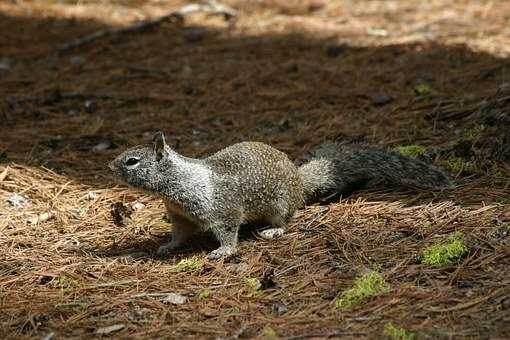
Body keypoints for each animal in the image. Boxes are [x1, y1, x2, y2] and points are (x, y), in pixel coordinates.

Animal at [107, 131, 450, 258]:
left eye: (132, 161)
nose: (109, 166)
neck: (179, 182)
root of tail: (299, 180)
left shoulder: (222, 210)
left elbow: (228, 232)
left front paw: (223, 252)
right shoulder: (180, 216)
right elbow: (179, 234)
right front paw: (167, 246)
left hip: (280, 204)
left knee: (288, 219)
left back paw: (273, 230)